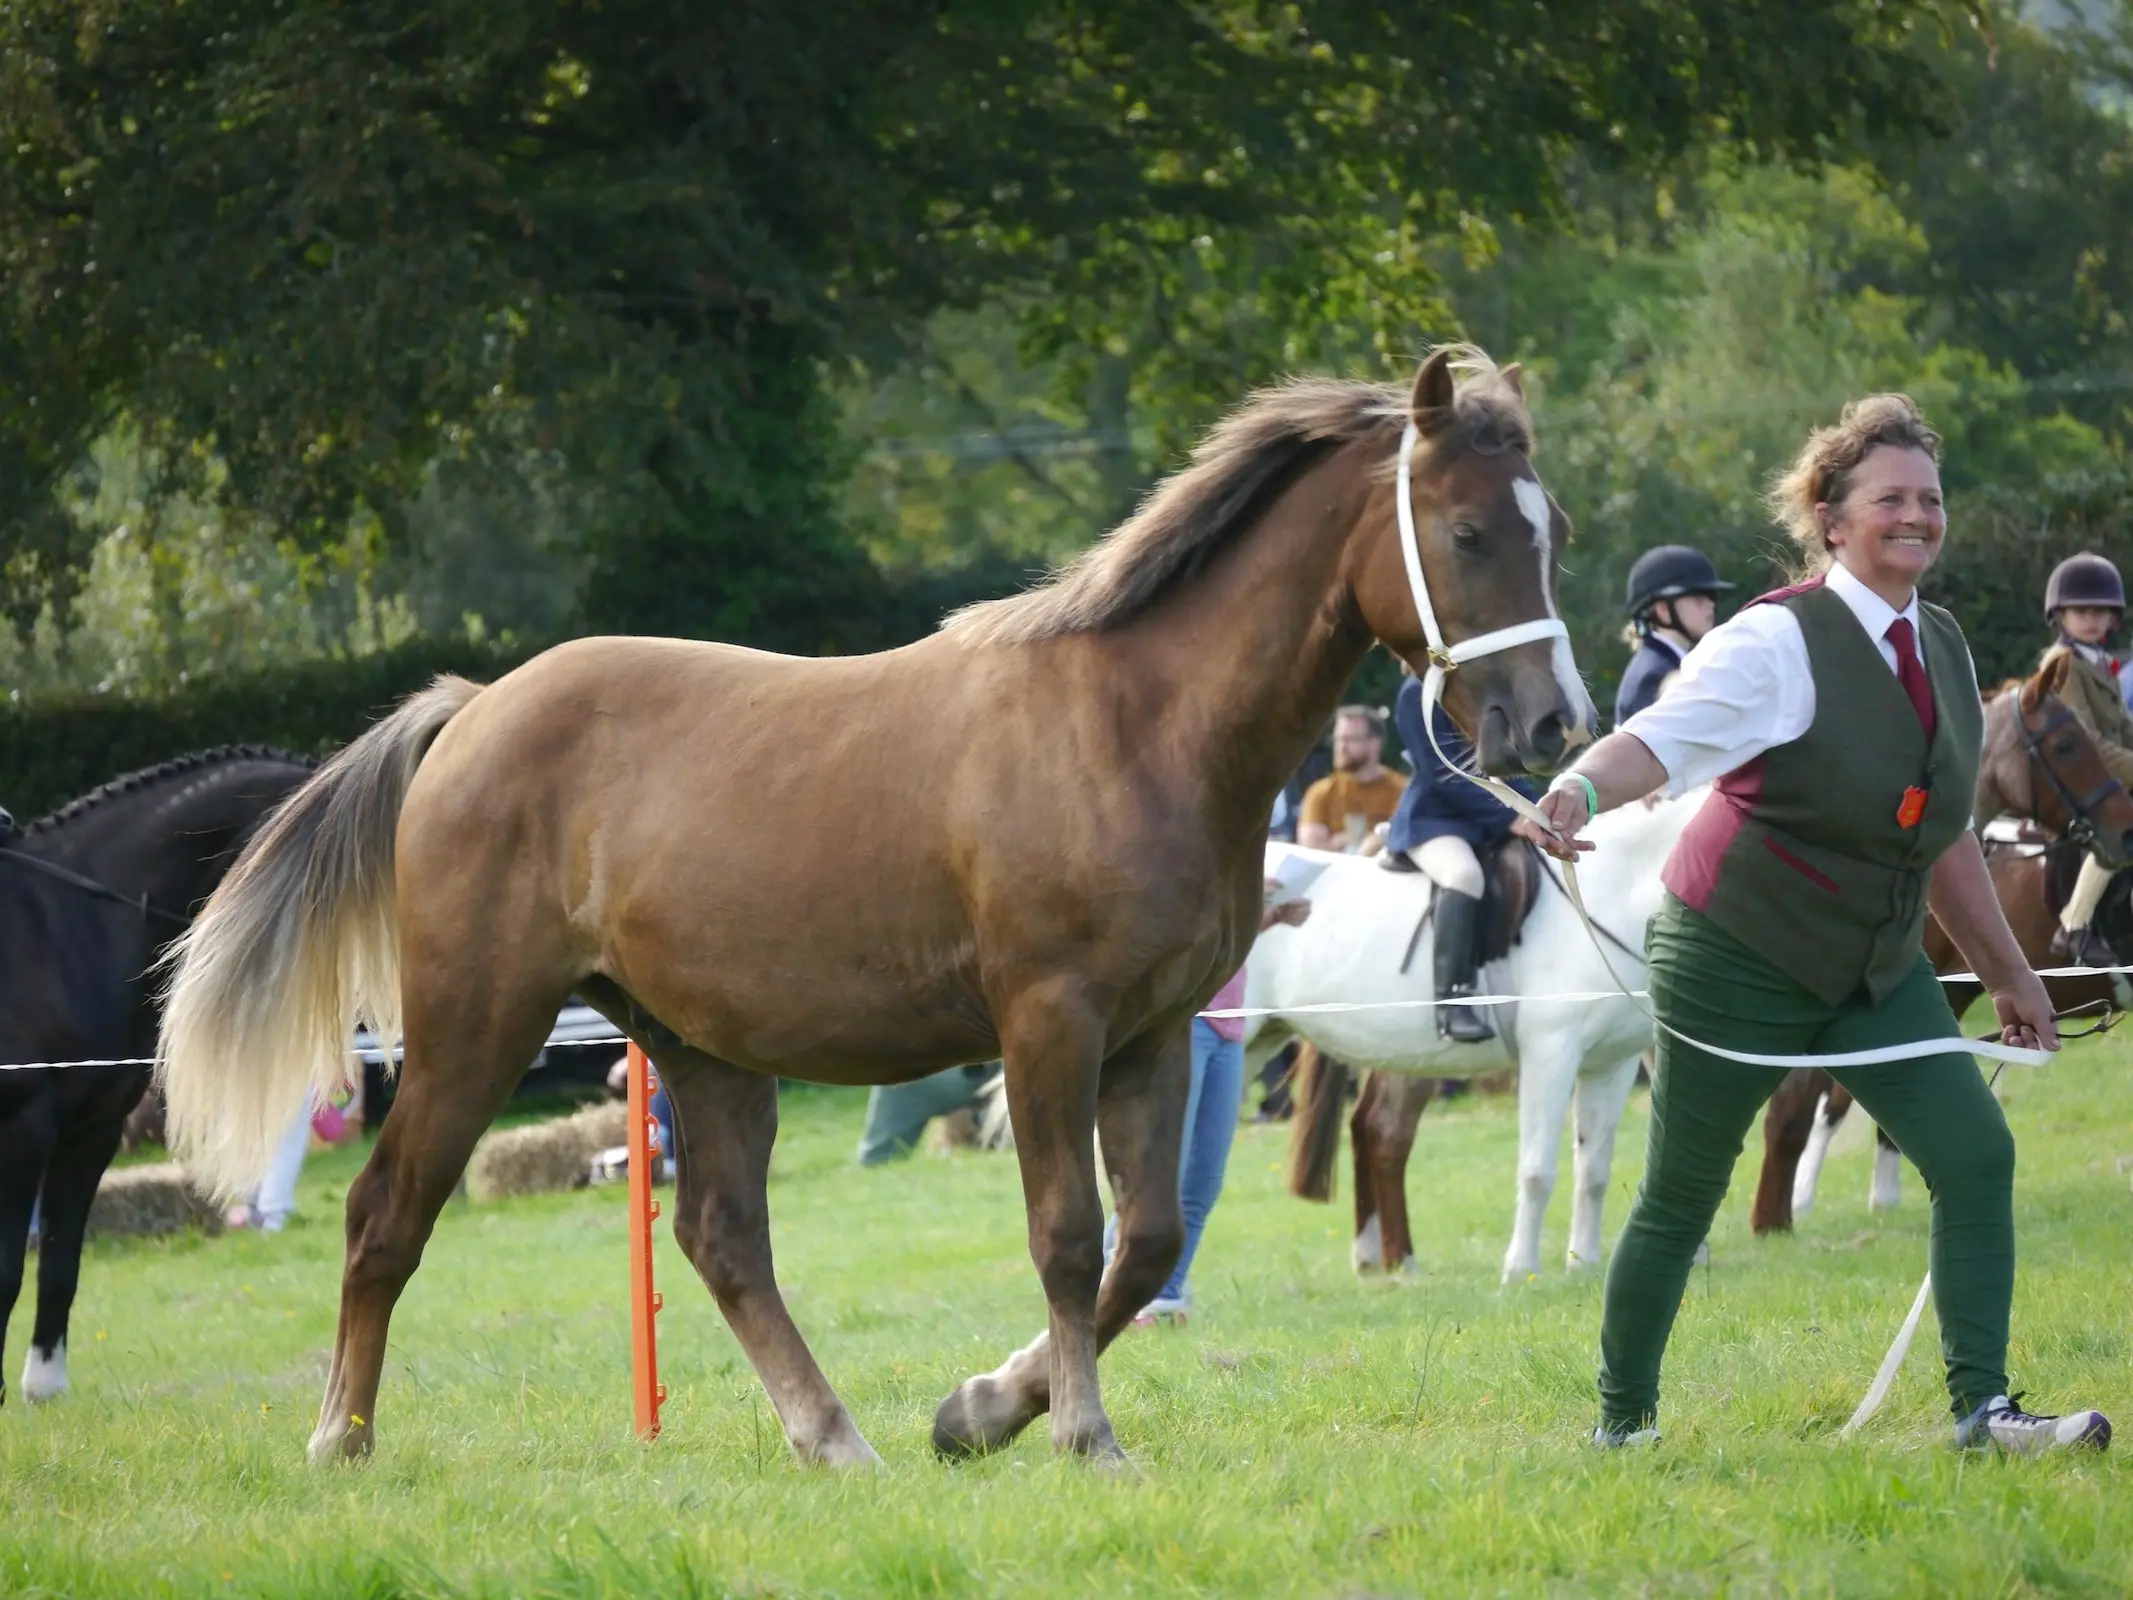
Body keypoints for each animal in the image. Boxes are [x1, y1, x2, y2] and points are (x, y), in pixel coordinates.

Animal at [0, 746, 313, 1408]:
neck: (66, 927)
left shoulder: (88, 1135)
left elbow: (60, 1263)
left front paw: (44, 1387)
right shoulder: (22, 1130)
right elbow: (9, 1266)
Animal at [166, 349, 1595, 1476]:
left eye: (1556, 529)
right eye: (1470, 532)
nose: (1551, 724)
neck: (1136, 724)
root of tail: (471, 711)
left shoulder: (1148, 1036)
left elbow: (1145, 1244)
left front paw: (982, 1410)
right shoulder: (1050, 1026)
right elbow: (1069, 1237)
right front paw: (1083, 1435)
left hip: (703, 1048)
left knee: (721, 1239)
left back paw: (834, 1437)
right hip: (478, 1027)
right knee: (385, 1214)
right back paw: (340, 1437)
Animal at [1245, 793, 1689, 1288]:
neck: (1606, 891)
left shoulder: (1611, 1064)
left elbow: (1593, 1169)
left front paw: (1584, 1264)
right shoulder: (1550, 1054)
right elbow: (1537, 1169)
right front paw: (1520, 1270)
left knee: (1381, 1128)